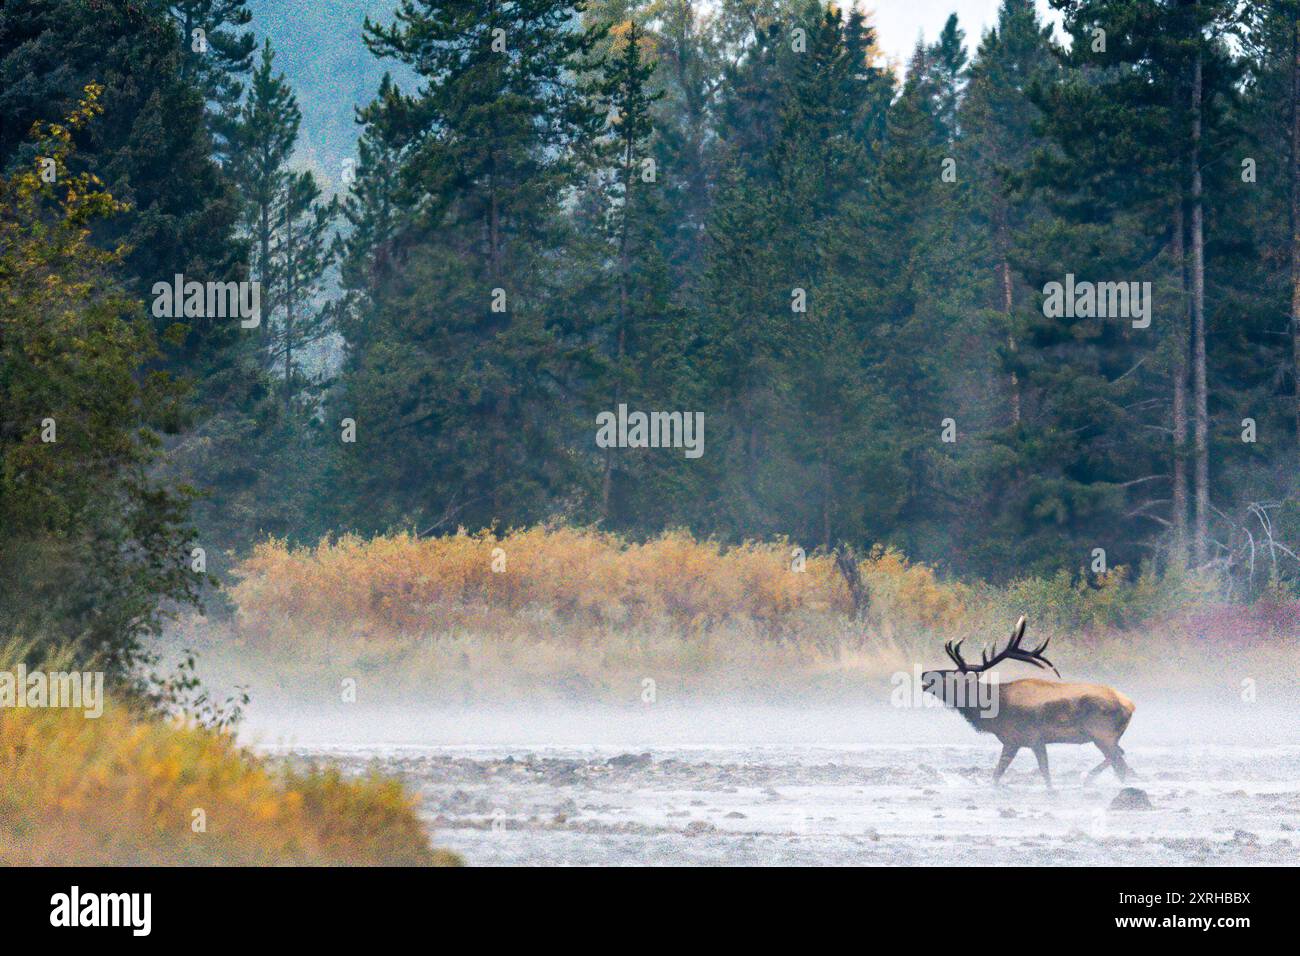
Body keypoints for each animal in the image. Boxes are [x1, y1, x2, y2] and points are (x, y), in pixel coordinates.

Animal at [920, 616, 1133, 790]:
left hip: (1102, 733)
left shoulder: (1029, 737)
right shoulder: (1016, 740)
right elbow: (1001, 773)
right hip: (1109, 737)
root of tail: (1131, 705)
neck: (994, 711)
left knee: (1119, 763)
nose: (924, 673)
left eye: (949, 675)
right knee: (1120, 756)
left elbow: (1038, 771)